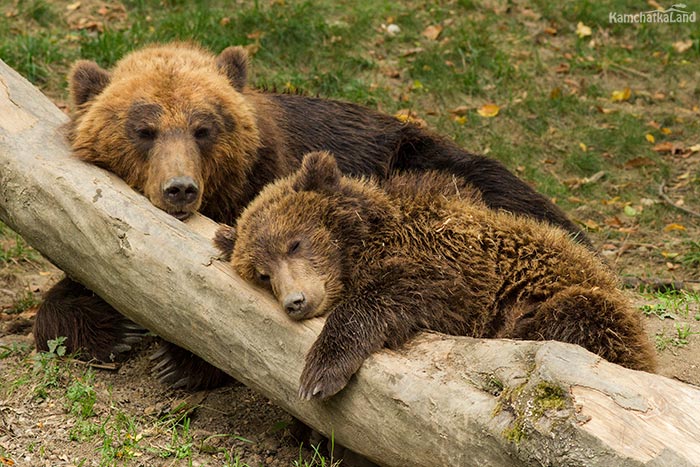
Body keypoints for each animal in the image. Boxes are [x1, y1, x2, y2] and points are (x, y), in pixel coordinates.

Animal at [224, 152, 656, 400]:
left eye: (294, 243)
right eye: (262, 274)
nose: (295, 301)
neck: (364, 244)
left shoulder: (456, 264)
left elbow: (402, 290)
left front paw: (320, 373)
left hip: (583, 303)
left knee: (576, 317)